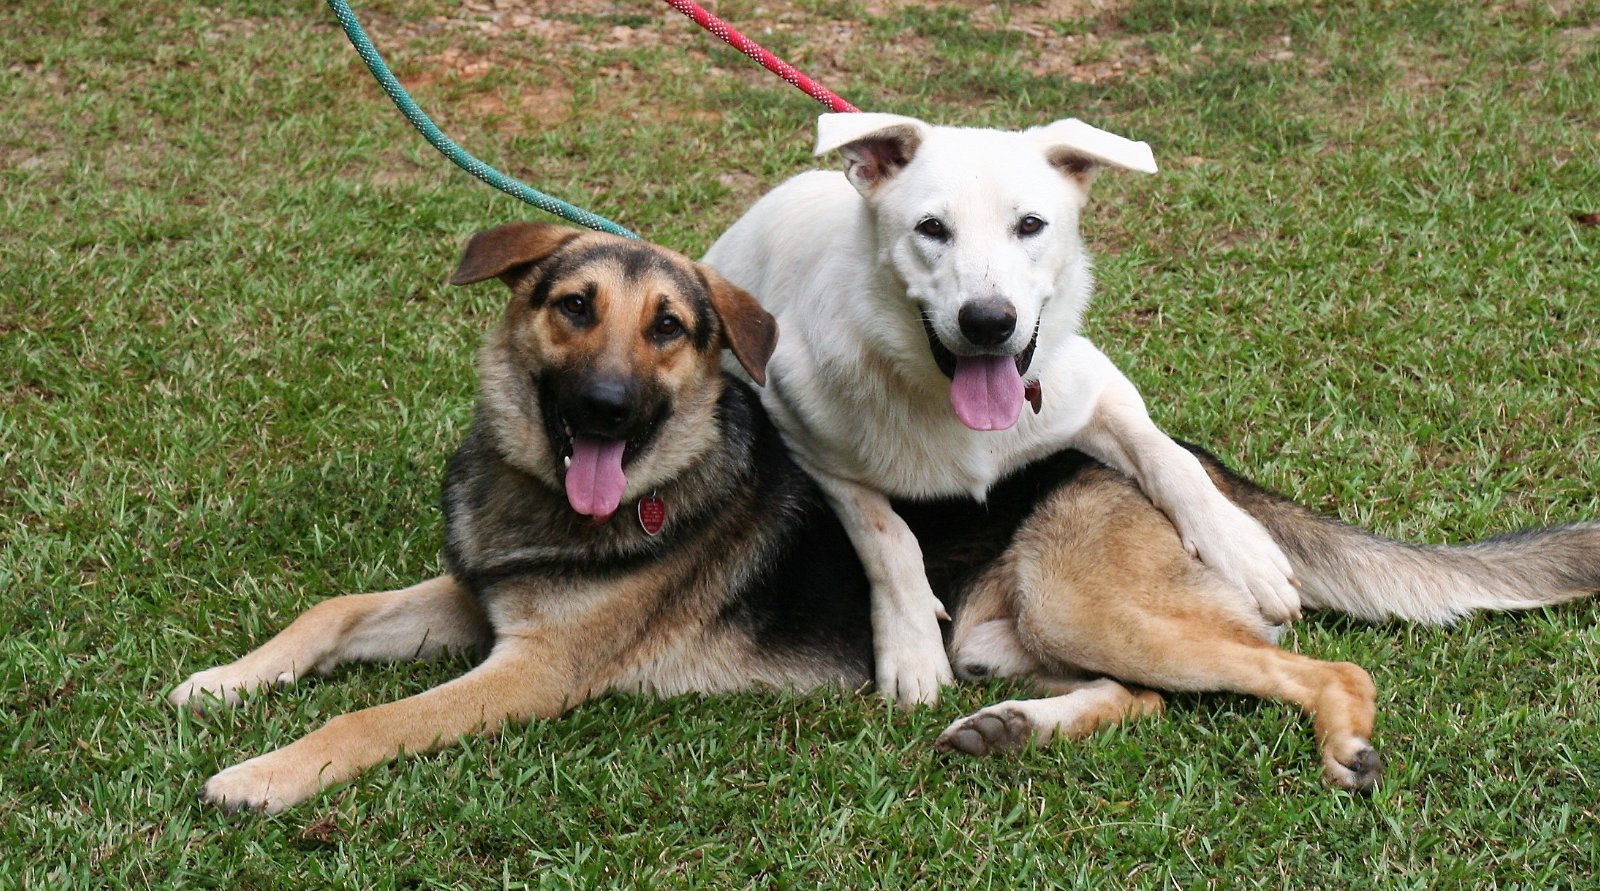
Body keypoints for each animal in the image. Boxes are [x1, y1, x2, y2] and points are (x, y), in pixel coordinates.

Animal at [710, 114, 1299, 703]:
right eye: (931, 228)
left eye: (1030, 225)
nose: (988, 322)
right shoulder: (806, 439)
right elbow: (887, 537)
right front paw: (911, 646)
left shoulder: (1095, 387)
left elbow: (1170, 457)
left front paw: (1241, 548)